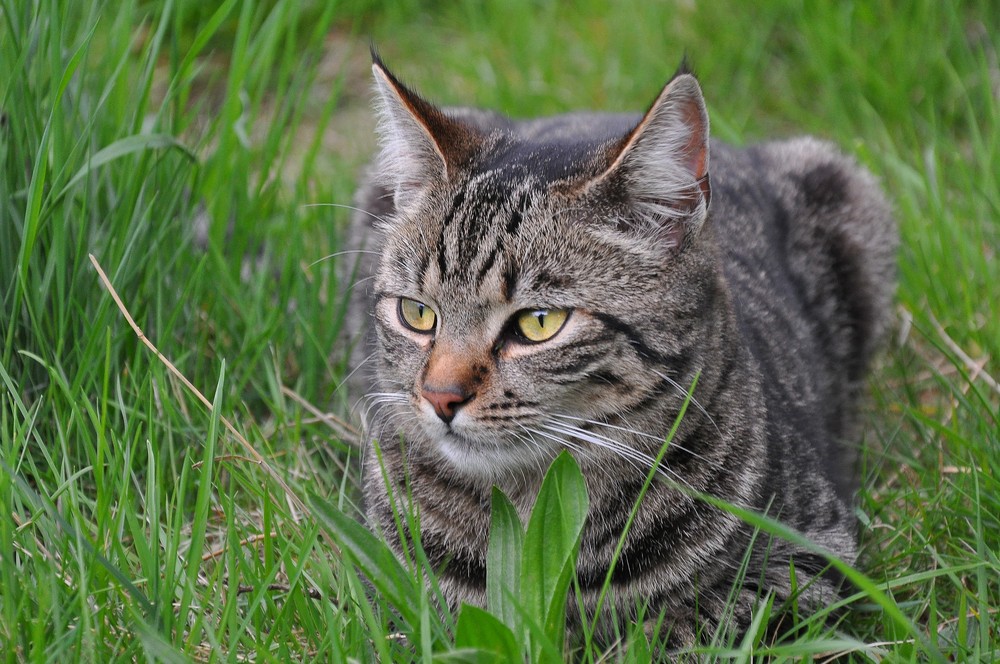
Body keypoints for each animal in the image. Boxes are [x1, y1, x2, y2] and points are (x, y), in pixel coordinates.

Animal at [346, 50, 900, 648]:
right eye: (417, 313)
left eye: (539, 323)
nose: (440, 396)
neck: (534, 519)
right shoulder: (391, 601)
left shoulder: (814, 562)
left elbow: (677, 632)